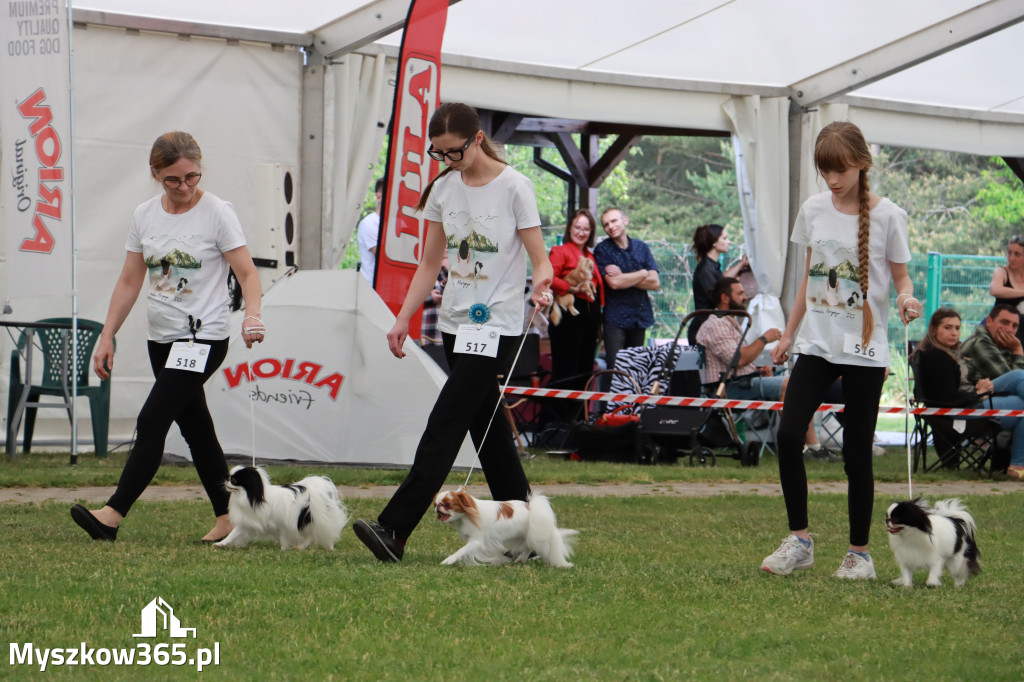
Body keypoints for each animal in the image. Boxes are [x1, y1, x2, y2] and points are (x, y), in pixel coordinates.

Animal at [216, 464, 348, 548]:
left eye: (234, 481)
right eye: (229, 477)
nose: (226, 481)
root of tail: (314, 491)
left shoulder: (283, 524)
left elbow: (284, 538)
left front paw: (283, 549)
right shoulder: (247, 523)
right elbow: (233, 533)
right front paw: (221, 544)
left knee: (313, 534)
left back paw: (305, 547)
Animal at [430, 485, 577, 565]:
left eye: (447, 504)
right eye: (435, 504)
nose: (437, 508)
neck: (468, 515)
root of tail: (532, 509)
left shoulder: (476, 541)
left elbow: (461, 551)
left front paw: (448, 560)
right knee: (529, 546)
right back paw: (521, 559)